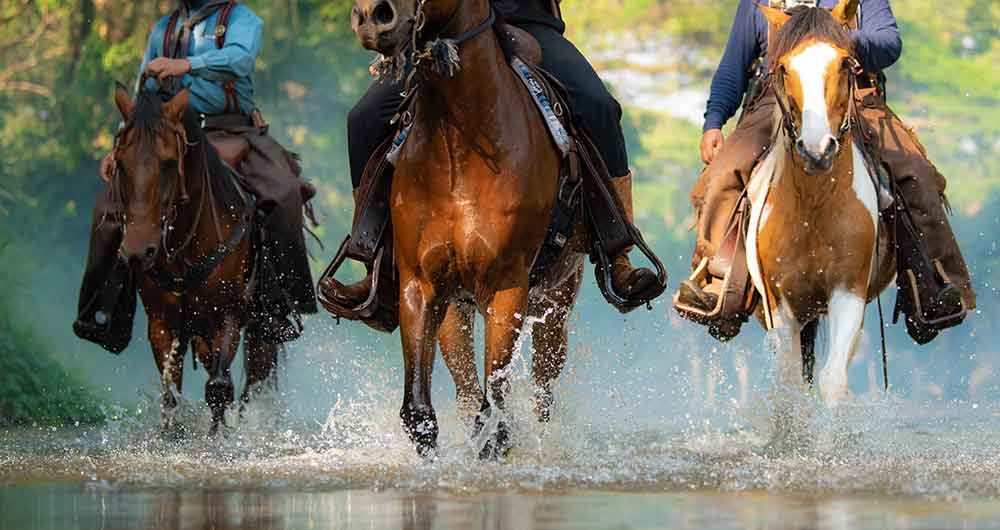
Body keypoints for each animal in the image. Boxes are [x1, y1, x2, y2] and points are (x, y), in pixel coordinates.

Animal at [111, 83, 280, 434]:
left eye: (168, 163)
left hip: (262, 328)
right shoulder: (162, 323)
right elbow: (170, 394)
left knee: (251, 382)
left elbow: (218, 388)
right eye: (120, 163)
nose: (137, 252)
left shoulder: (229, 316)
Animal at [352, 0, 584, 454]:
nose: (373, 17)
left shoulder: (506, 285)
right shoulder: (421, 285)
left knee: (541, 392)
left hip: (555, 304)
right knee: (468, 391)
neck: (459, 147)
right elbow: (422, 413)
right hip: (457, 307)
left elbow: (498, 412)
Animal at [748, 0, 896, 404]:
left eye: (846, 63)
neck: (813, 209)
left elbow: (832, 381)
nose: (817, 150)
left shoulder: (849, 292)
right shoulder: (782, 305)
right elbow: (789, 386)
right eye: (784, 69)